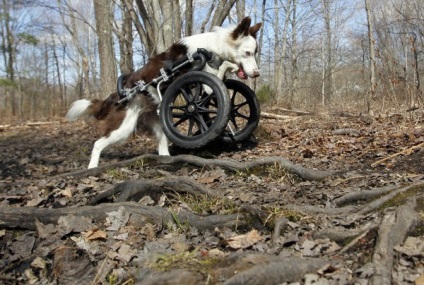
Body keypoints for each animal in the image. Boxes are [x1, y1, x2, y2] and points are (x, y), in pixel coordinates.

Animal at [65, 16, 262, 168]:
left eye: (255, 53)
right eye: (247, 53)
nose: (256, 73)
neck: (212, 47)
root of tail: (117, 95)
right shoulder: (207, 83)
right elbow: (225, 67)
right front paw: (232, 66)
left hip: (158, 124)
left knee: (161, 147)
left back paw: (167, 159)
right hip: (123, 128)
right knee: (98, 143)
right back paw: (92, 167)